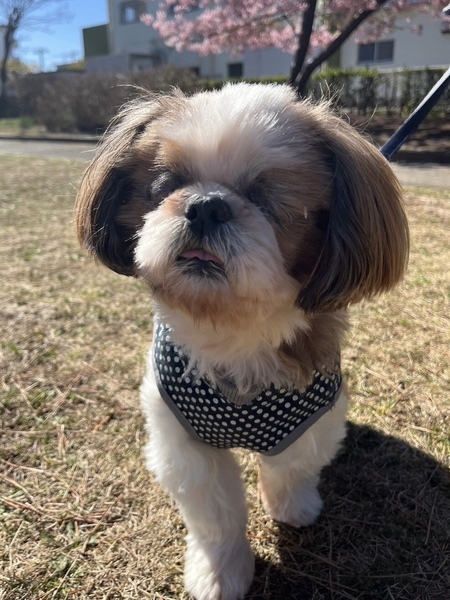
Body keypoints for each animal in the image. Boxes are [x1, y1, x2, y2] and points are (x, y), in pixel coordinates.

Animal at [75, 83, 409, 600]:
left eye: (267, 199)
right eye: (166, 186)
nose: (206, 204)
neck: (233, 329)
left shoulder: (316, 416)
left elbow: (291, 467)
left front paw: (291, 507)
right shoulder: (185, 442)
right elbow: (216, 514)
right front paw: (220, 571)